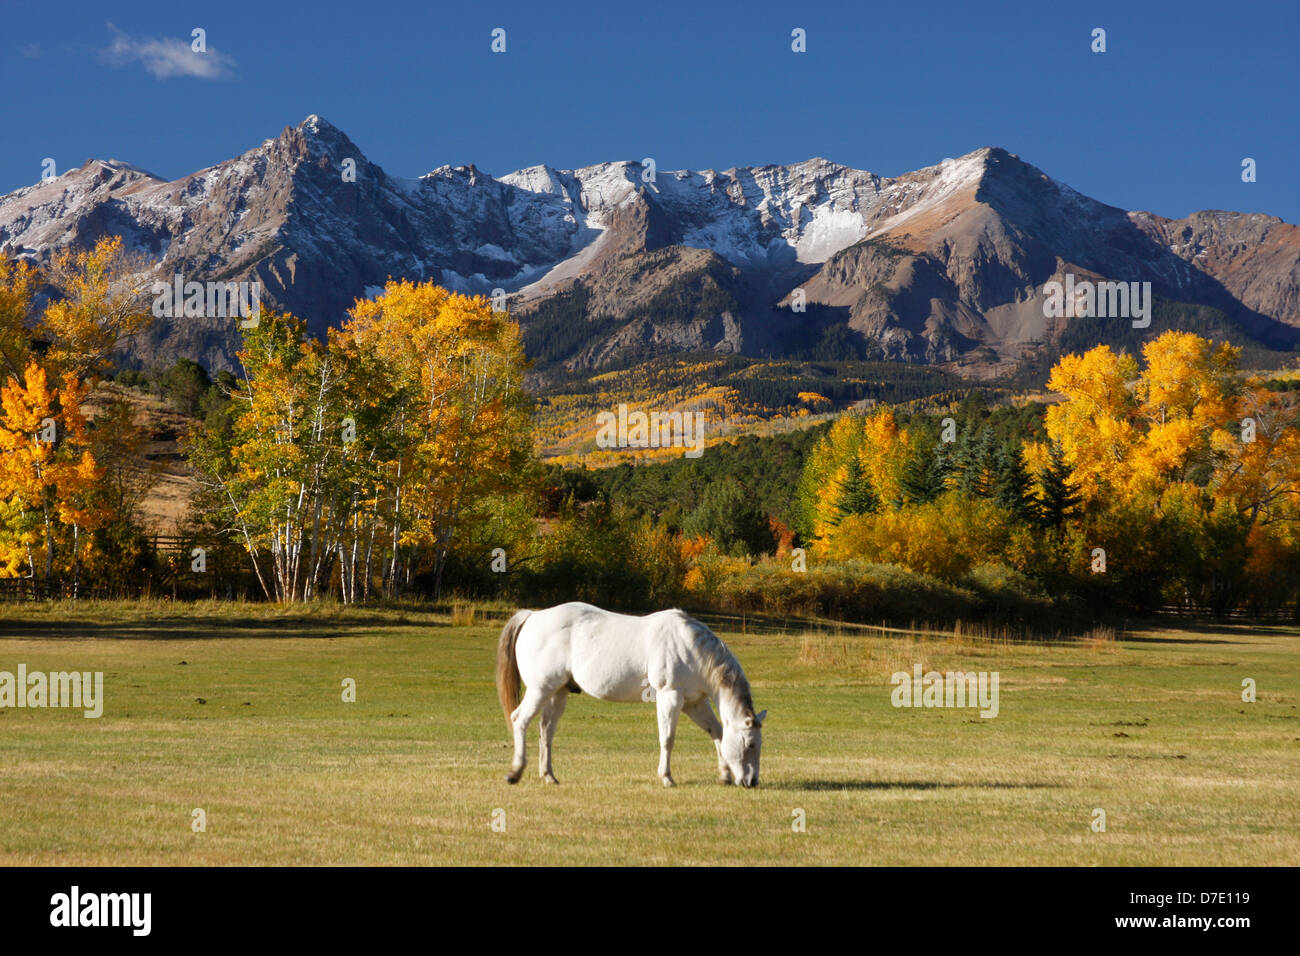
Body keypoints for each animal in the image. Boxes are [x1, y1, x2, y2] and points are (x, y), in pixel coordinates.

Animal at [493, 600, 759, 790]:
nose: (752, 782)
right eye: (751, 743)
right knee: (519, 720)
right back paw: (515, 772)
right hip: (540, 689)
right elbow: (667, 738)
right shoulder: (670, 697)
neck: (689, 646)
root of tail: (533, 616)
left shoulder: (694, 703)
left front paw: (724, 775)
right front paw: (667, 777)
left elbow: (717, 731)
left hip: (557, 693)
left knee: (546, 731)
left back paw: (549, 776)